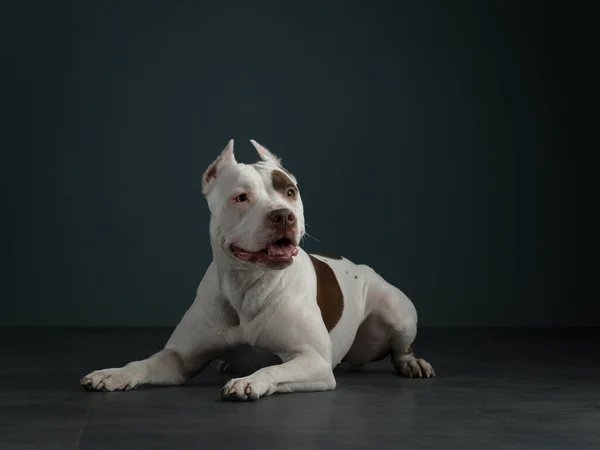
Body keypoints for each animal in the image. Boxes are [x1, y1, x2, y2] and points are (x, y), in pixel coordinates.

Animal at [81, 139, 436, 400]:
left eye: (290, 192)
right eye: (241, 197)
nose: (283, 215)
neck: (248, 285)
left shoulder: (313, 360)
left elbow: (275, 369)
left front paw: (250, 381)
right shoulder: (178, 358)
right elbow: (141, 364)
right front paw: (111, 374)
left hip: (398, 311)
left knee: (401, 348)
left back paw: (413, 363)